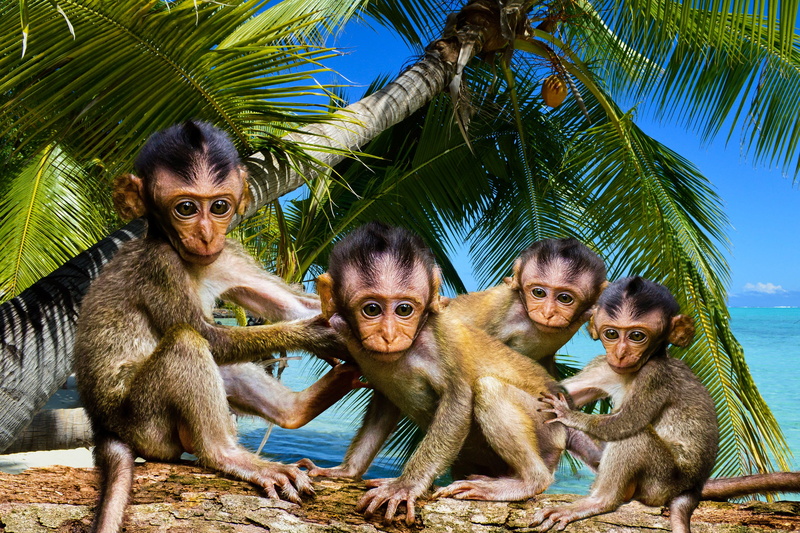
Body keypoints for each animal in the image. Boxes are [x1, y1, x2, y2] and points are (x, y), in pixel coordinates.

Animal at [74, 121, 360, 533]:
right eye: (186, 208)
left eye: (219, 206)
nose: (207, 234)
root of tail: (103, 427)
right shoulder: (159, 264)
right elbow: (209, 336)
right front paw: (317, 334)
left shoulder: (229, 254)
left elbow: (291, 305)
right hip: (145, 424)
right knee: (187, 341)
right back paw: (225, 453)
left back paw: (296, 409)